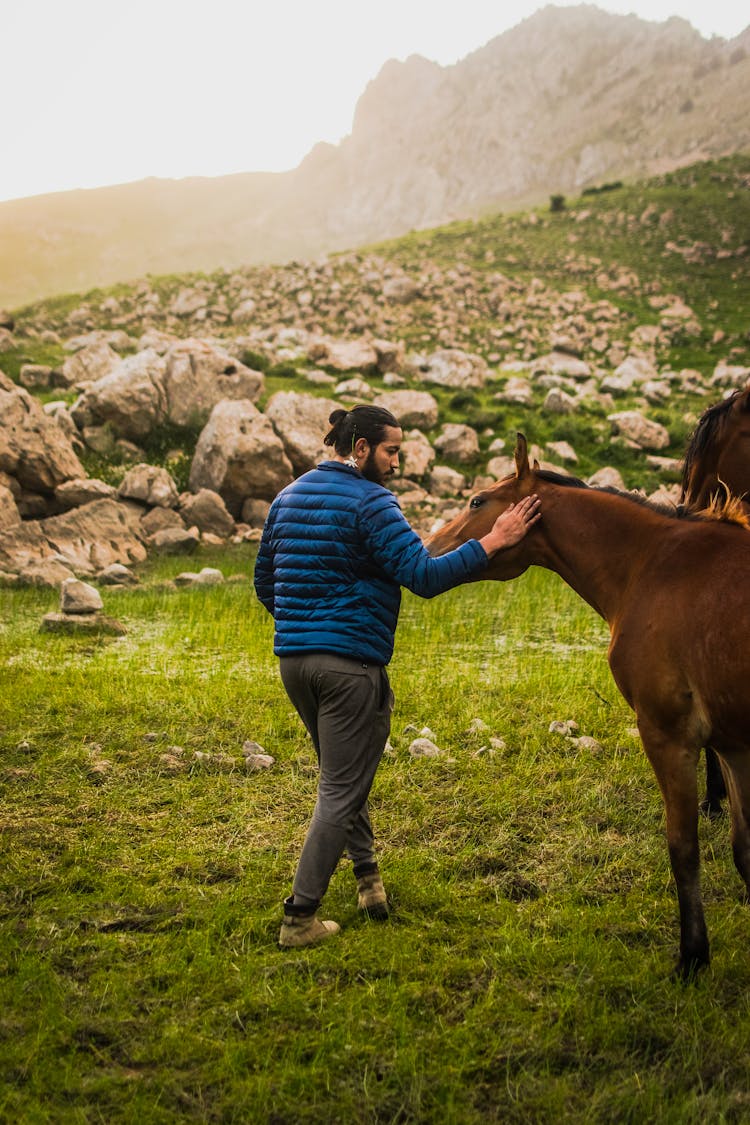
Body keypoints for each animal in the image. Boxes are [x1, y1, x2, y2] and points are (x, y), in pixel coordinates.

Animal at [427, 429, 750, 976]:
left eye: (477, 501)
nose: (427, 546)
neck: (653, 565)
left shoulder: (669, 734)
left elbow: (683, 847)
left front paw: (693, 957)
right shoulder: (733, 746)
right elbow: (744, 850)